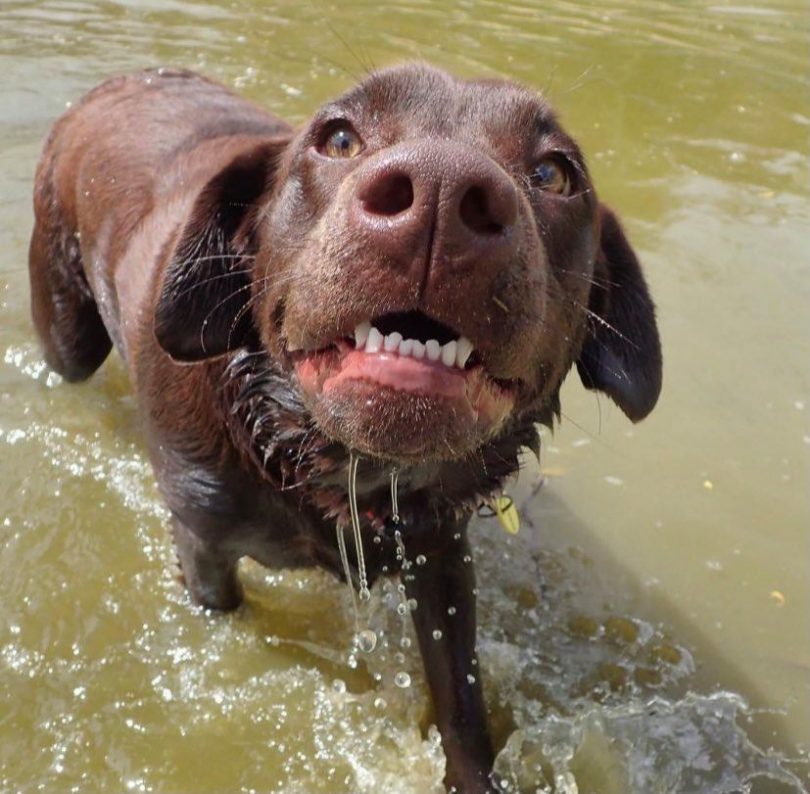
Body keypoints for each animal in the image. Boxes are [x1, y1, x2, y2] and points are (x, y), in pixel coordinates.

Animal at [30, 65, 664, 788]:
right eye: (337, 138)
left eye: (555, 173)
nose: (442, 191)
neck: (331, 464)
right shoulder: (202, 546)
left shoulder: (440, 552)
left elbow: (461, 696)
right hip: (67, 331)